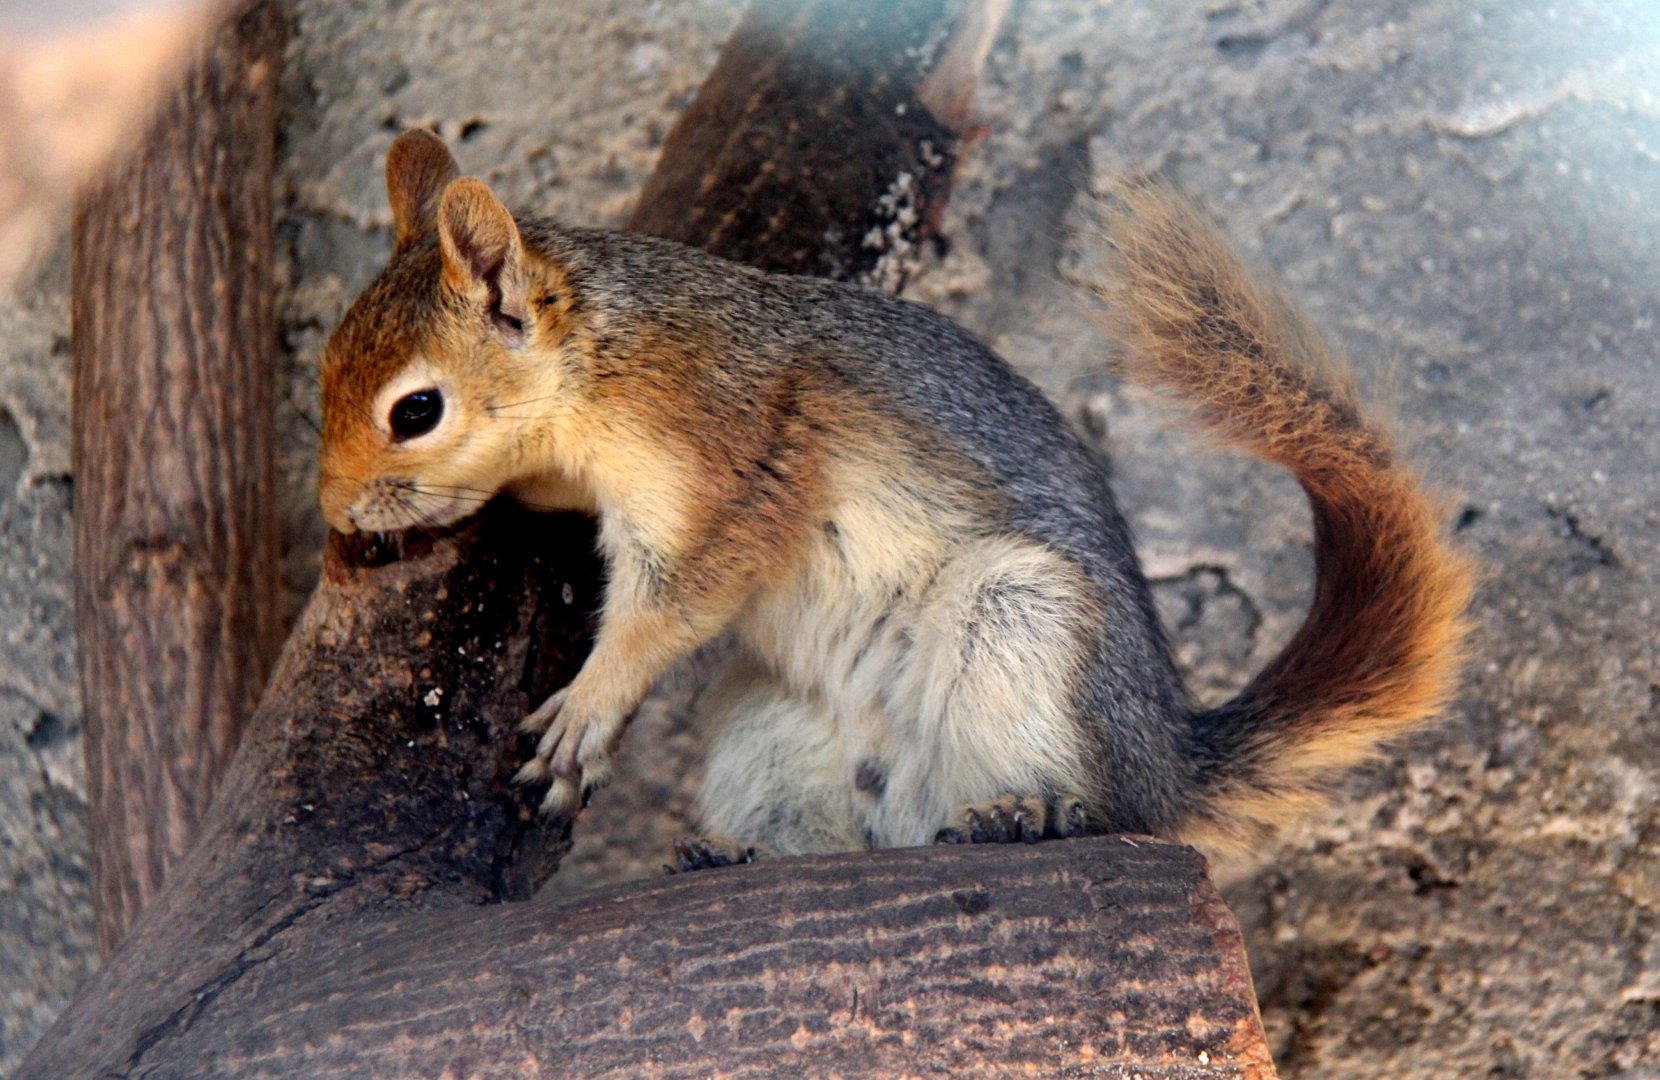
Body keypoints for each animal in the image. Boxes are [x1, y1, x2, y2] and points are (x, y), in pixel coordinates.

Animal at [318, 129, 1474, 871]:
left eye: (415, 409)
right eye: (325, 360)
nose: (333, 514)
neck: (610, 358)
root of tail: (1167, 766)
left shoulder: (732, 471)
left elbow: (671, 608)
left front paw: (589, 708)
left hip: (1021, 625)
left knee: (1097, 810)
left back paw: (1030, 814)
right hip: (773, 721)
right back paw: (743, 854)